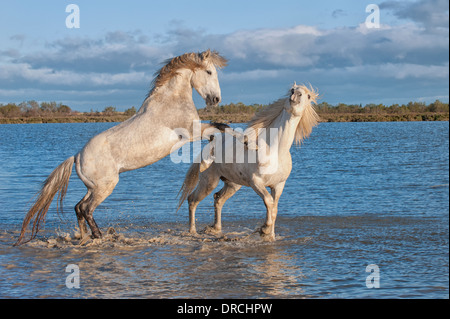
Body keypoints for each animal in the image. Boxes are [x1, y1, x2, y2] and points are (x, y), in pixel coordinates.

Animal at [14, 49, 232, 245]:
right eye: (209, 72)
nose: (216, 100)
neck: (170, 101)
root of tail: (76, 156)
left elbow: (221, 128)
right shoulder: (192, 132)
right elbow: (220, 128)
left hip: (93, 187)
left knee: (78, 207)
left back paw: (85, 237)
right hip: (105, 186)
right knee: (86, 209)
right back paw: (99, 236)